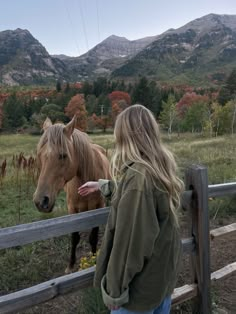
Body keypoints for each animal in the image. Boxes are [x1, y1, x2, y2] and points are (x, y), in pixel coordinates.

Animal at [33, 116, 110, 274]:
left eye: (63, 155)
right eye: (39, 155)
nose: (41, 201)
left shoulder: (98, 207)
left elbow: (93, 237)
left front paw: (94, 260)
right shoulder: (72, 209)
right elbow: (74, 237)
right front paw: (70, 265)